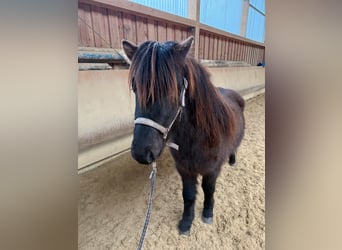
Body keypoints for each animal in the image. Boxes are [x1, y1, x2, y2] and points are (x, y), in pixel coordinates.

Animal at [121, 36, 244, 235]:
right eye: (135, 88)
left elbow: (209, 190)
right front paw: (186, 222)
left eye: (173, 89)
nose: (141, 152)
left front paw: (208, 213)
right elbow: (188, 195)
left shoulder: (212, 169)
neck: (196, 139)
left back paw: (232, 160)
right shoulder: (185, 169)